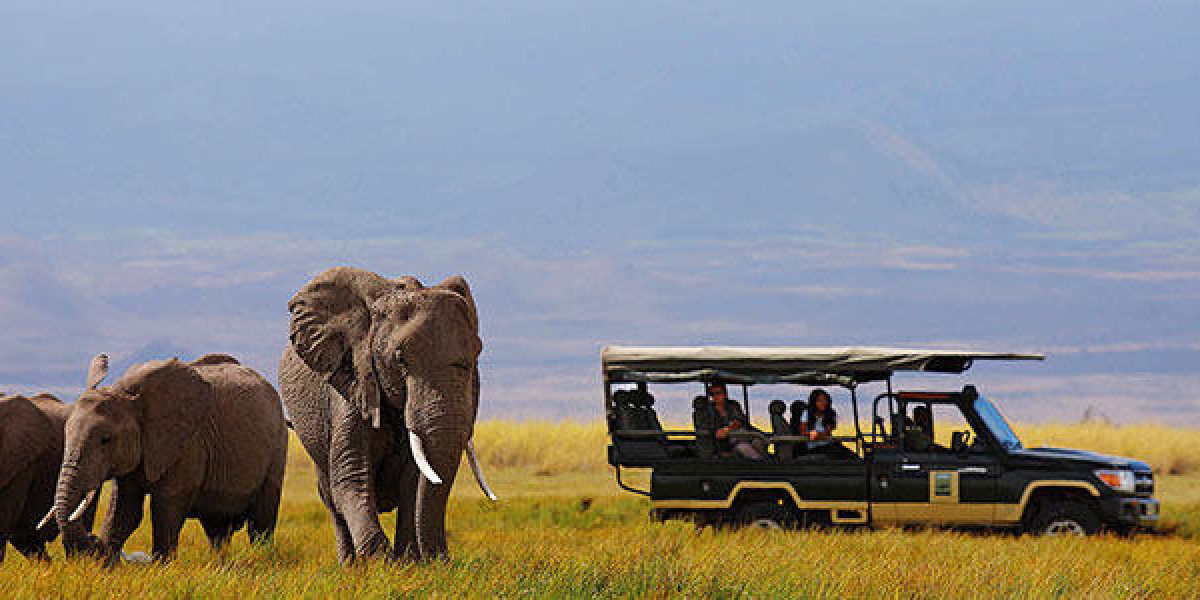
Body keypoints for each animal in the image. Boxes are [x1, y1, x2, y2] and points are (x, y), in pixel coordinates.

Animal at [54, 350, 288, 561]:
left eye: (106, 439)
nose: (93, 540)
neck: (128, 394)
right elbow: (125, 511)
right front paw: (106, 565)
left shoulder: (187, 444)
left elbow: (166, 511)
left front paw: (162, 567)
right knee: (217, 529)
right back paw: (220, 565)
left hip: (278, 446)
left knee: (261, 524)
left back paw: (262, 558)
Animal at [278, 267, 494, 561]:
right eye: (400, 359)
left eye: (475, 358)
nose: (444, 559)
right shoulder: (352, 380)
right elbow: (351, 475)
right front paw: (381, 562)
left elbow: (414, 481)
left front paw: (409, 563)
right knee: (331, 500)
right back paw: (349, 564)